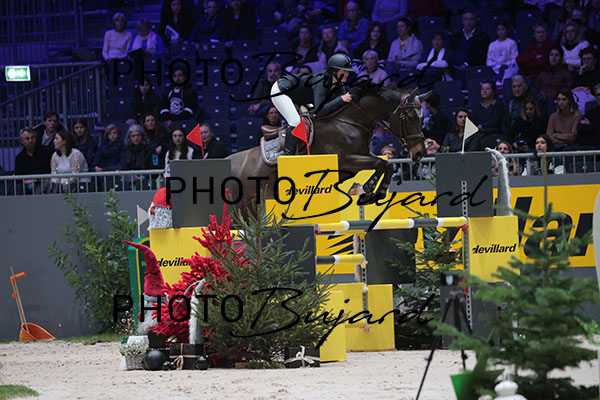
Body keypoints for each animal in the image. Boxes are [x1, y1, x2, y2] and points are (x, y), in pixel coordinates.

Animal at [227, 84, 430, 214]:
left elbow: (387, 165)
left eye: (421, 116)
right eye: (411, 116)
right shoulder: (345, 160)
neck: (348, 123)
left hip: (251, 206)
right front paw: (369, 189)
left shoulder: (362, 155)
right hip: (239, 207)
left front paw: (373, 192)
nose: (420, 153)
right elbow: (381, 163)